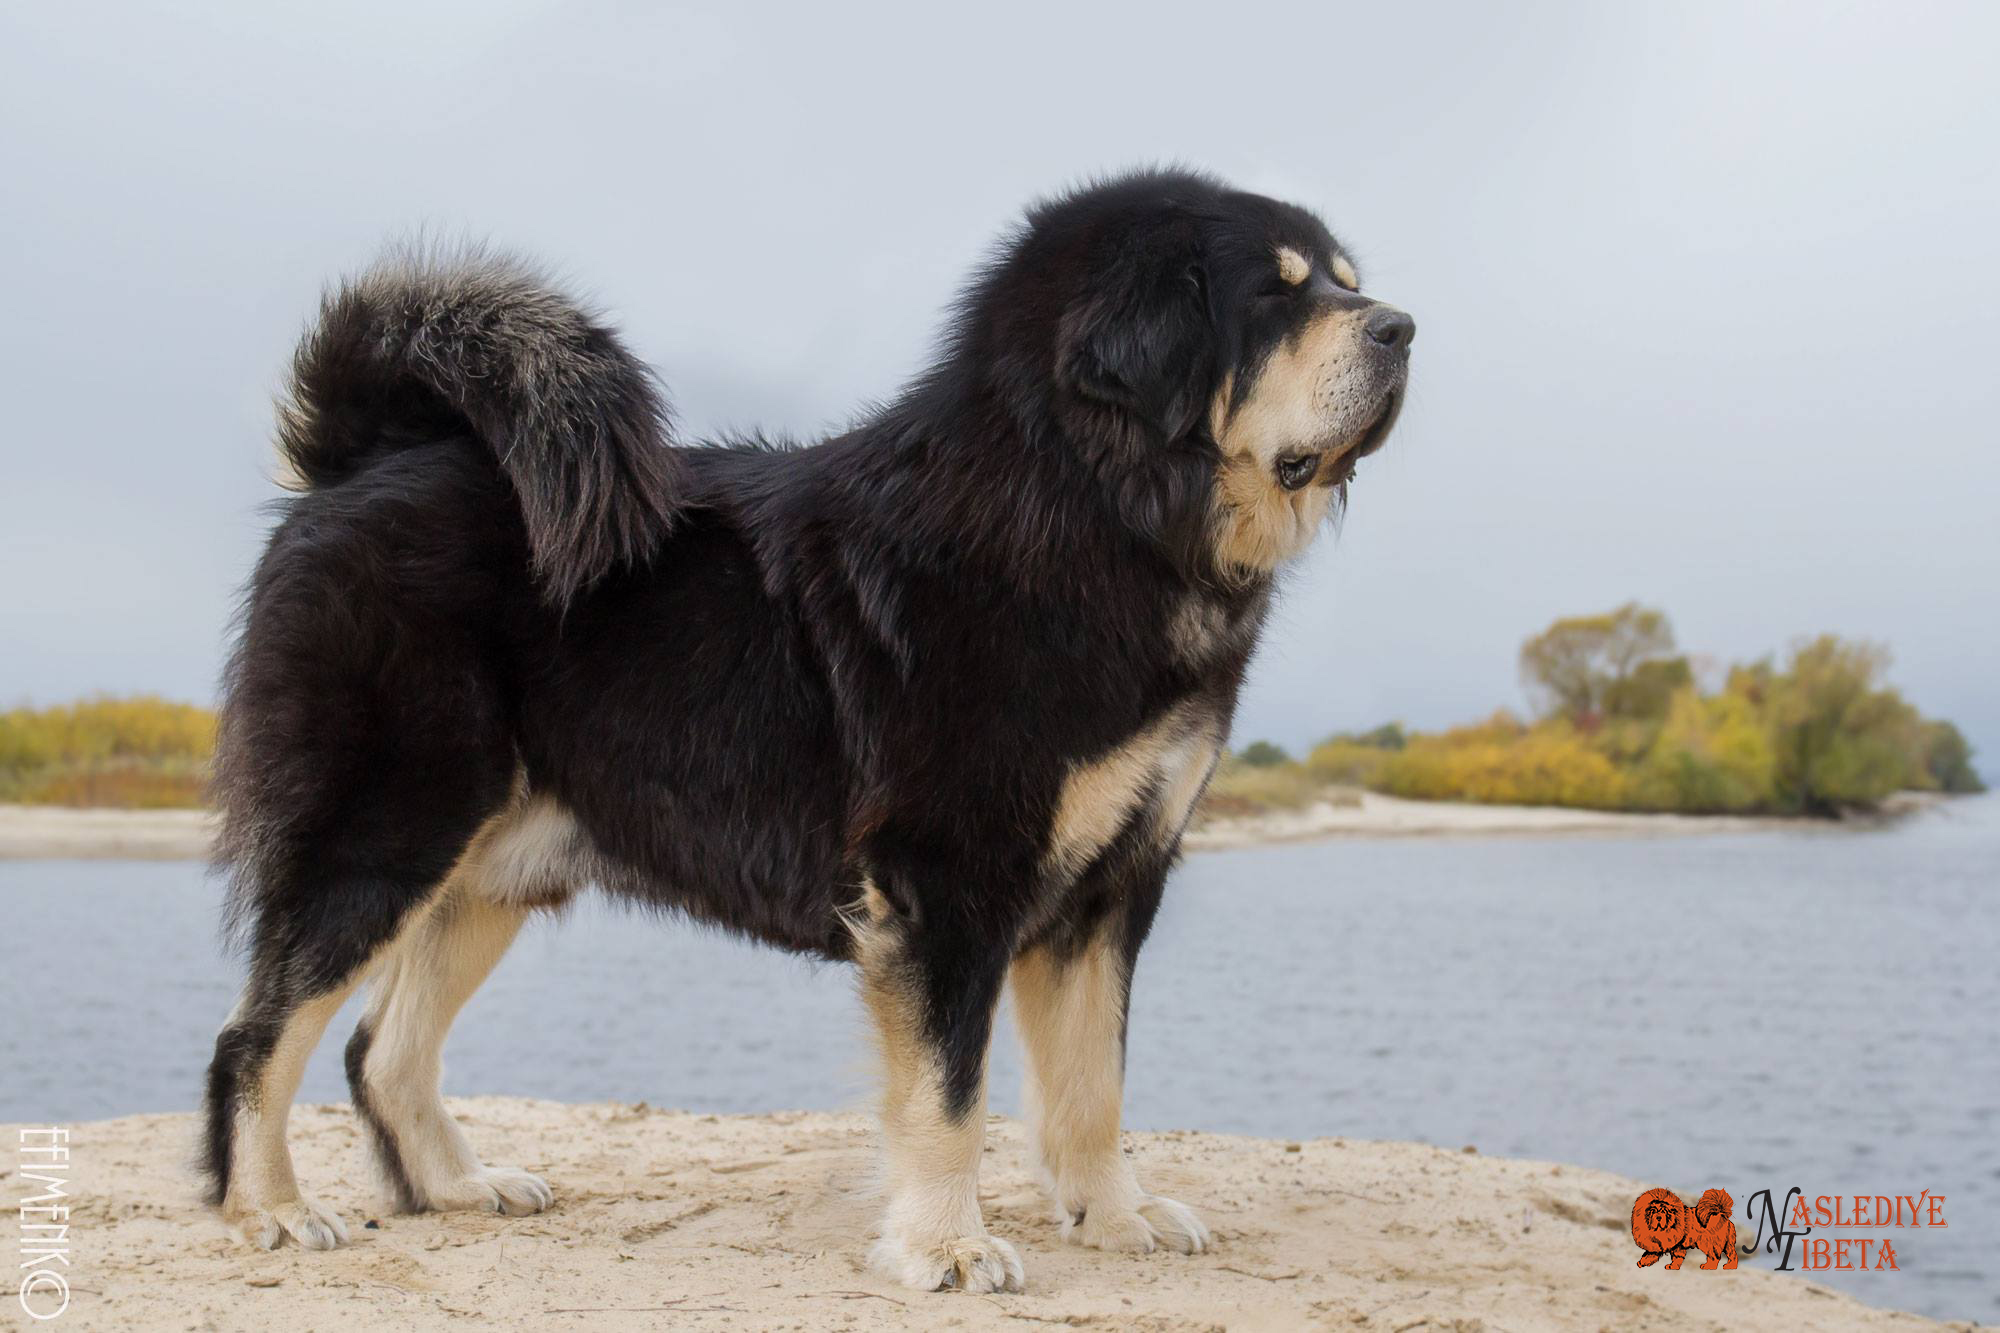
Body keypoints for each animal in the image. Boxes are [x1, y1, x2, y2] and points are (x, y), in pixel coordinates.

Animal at [201, 168, 1413, 1293]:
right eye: (1276, 296)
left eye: (1347, 285)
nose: (1402, 327)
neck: (1089, 512)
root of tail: (361, 462)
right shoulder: (947, 881)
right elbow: (951, 1091)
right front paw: (945, 1245)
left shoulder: (1110, 886)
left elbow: (1091, 1084)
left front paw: (1112, 1214)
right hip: (386, 830)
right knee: (255, 1036)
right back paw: (269, 1210)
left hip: (493, 868)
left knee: (380, 1050)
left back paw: (458, 1186)